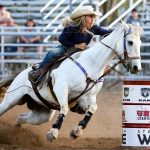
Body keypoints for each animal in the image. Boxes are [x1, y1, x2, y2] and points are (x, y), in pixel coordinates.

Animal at [0, 22, 142, 142]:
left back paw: (16, 133)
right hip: (10, 100)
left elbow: (93, 108)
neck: (91, 63)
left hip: (42, 113)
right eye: (130, 42)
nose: (137, 67)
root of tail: (20, 74)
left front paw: (77, 131)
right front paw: (53, 132)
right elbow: (64, 107)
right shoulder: (61, 87)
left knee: (21, 117)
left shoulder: (87, 98)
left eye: (140, 43)